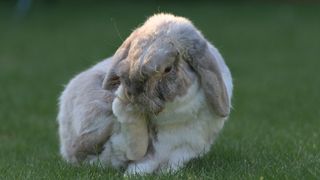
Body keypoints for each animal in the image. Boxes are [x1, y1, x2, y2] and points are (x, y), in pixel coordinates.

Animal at [57, 13, 232, 175]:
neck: (174, 114)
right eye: (130, 53)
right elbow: (139, 157)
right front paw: (132, 174)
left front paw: (166, 173)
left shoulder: (185, 148)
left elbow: (169, 162)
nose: (131, 92)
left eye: (168, 68)